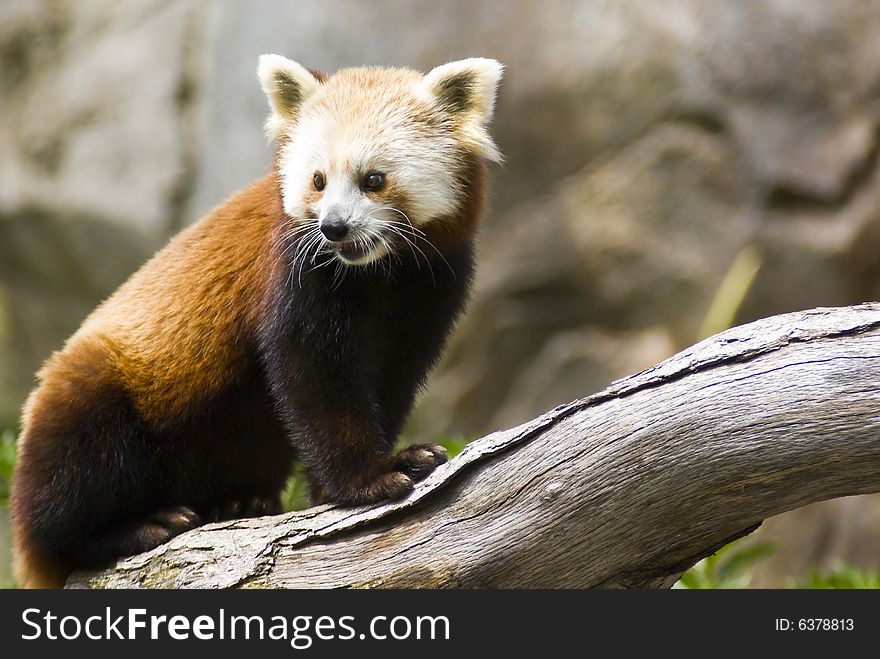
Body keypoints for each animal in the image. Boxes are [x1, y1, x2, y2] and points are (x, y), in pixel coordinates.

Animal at [8, 52, 502, 588]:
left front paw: (362, 474)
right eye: (318, 180)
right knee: (73, 482)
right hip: (93, 400)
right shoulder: (295, 273)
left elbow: (391, 380)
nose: (333, 227)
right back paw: (137, 527)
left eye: (373, 179)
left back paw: (239, 501)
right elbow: (313, 378)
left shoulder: (432, 286)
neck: (376, 274)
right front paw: (368, 479)